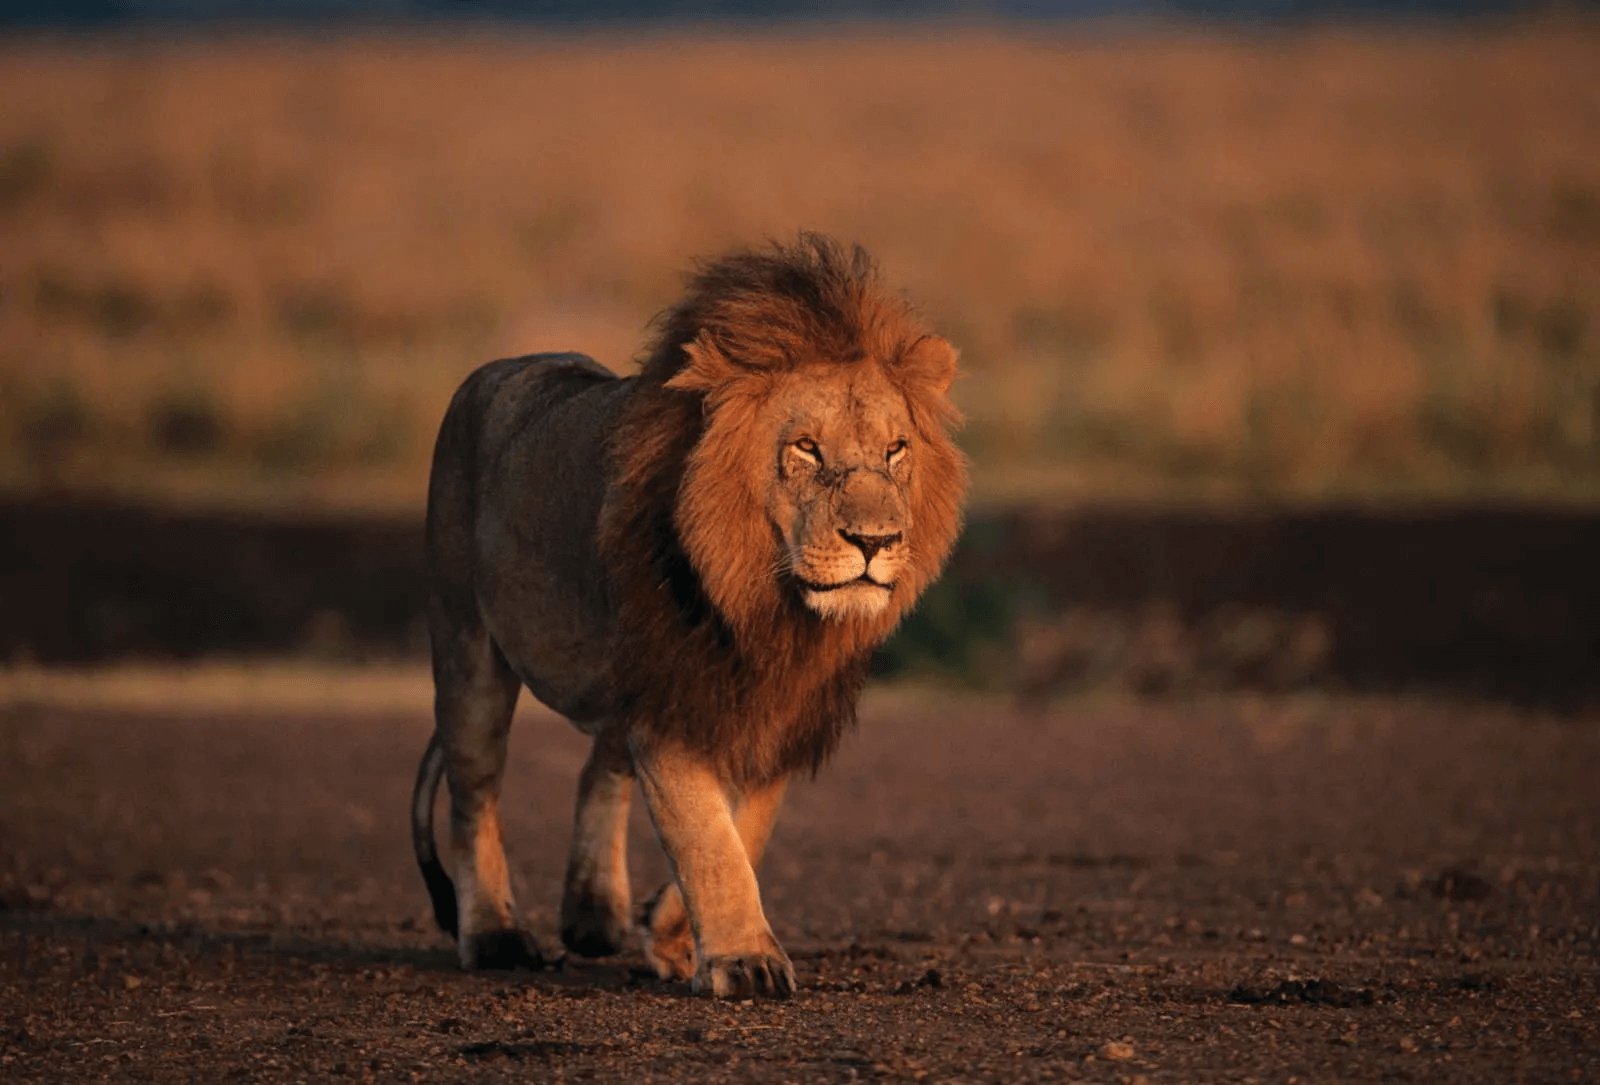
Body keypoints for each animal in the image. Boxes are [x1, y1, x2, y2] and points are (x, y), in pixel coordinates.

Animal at [406, 233, 966, 998]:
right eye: (806, 448)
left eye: (896, 450)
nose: (875, 541)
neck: (767, 606)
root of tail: (499, 369)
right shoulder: (671, 693)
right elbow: (707, 835)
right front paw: (745, 960)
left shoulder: (774, 707)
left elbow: (744, 829)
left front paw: (670, 934)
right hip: (467, 645)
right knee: (475, 792)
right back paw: (494, 935)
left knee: (598, 767)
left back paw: (594, 915)